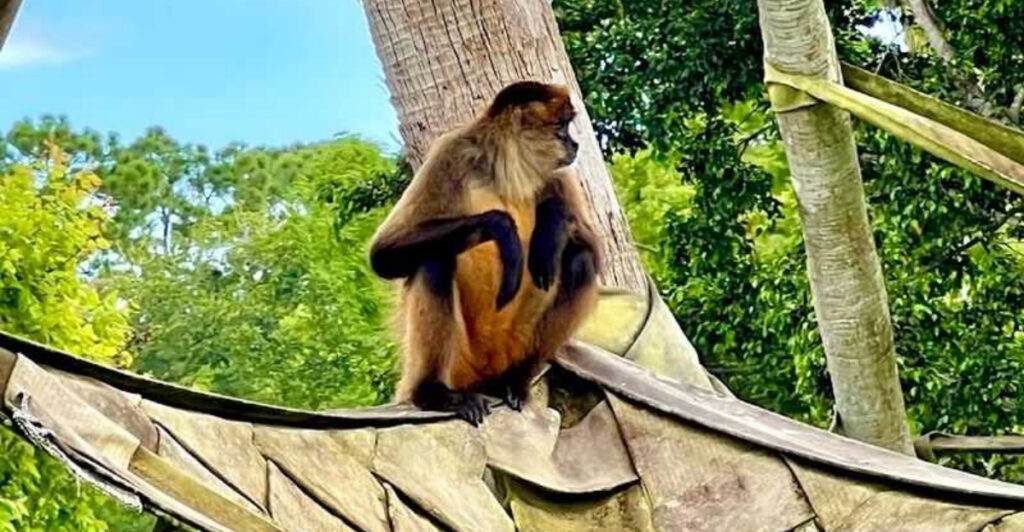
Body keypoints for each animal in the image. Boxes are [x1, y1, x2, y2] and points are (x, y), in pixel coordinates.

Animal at [368, 81, 602, 425]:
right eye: (561, 127)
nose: (574, 144)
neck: (508, 174)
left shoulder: (557, 175)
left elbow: (595, 252)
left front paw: (552, 222)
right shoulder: (453, 151)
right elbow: (382, 257)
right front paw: (503, 229)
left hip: (514, 345)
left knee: (580, 260)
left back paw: (514, 381)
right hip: (459, 363)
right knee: (435, 259)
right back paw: (434, 394)